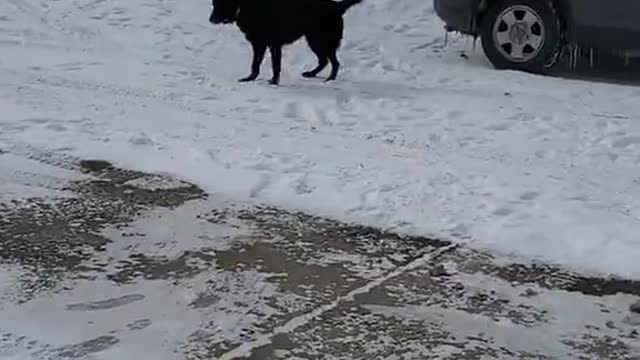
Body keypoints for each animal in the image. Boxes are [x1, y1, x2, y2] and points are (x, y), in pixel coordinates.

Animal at [209, 0, 360, 84]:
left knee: (335, 62)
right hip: (314, 41)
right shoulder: (259, 45)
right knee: (324, 61)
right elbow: (255, 64)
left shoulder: (273, 45)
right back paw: (311, 74)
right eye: (213, 4)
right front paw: (250, 78)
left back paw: (329, 80)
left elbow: (275, 65)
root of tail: (337, 6)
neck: (244, 7)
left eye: (219, 4)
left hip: (321, 41)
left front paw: (274, 82)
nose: (210, 20)